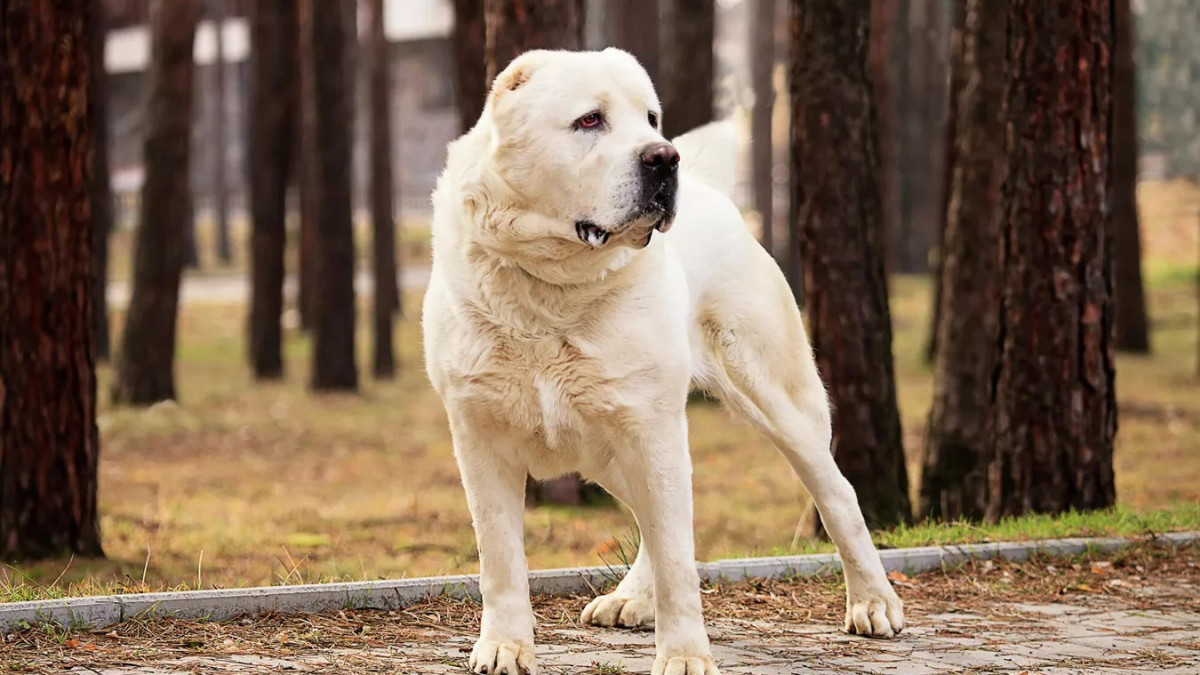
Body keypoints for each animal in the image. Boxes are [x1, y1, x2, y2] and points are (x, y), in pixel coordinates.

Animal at [422, 48, 902, 672]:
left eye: (650, 118)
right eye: (589, 120)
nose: (663, 155)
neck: (552, 289)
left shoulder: (651, 428)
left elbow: (678, 558)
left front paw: (685, 656)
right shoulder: (480, 436)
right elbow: (500, 557)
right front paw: (505, 646)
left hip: (773, 401)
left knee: (836, 494)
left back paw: (874, 603)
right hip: (609, 446)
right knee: (651, 521)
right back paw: (629, 599)